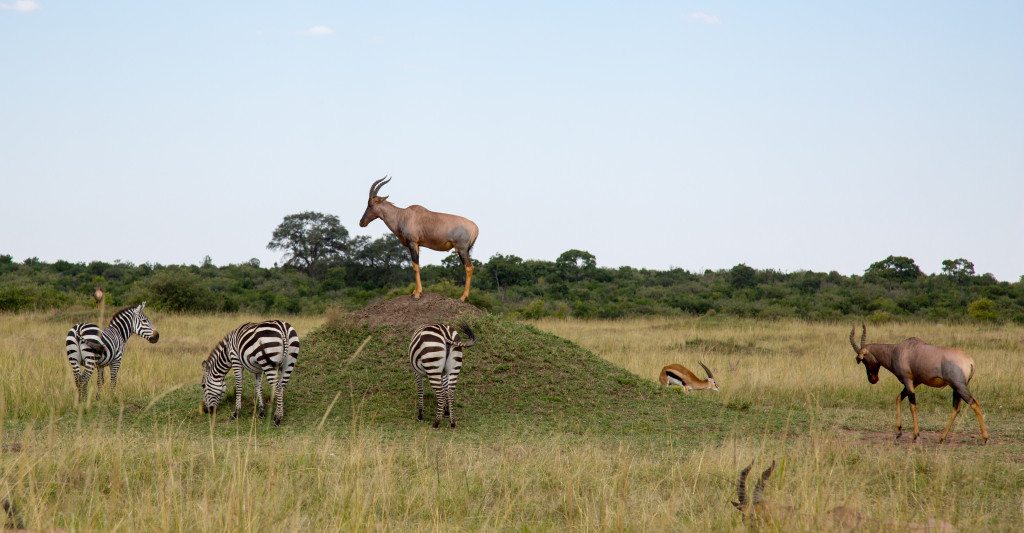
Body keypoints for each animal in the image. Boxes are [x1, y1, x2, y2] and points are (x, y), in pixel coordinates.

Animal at [843, 323, 987, 439]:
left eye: (864, 360)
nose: (873, 379)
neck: (899, 350)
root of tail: (970, 361)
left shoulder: (908, 381)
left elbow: (912, 406)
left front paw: (915, 435)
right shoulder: (915, 382)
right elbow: (898, 398)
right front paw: (898, 432)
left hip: (959, 386)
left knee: (974, 403)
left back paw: (984, 438)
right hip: (956, 388)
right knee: (956, 408)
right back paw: (942, 438)